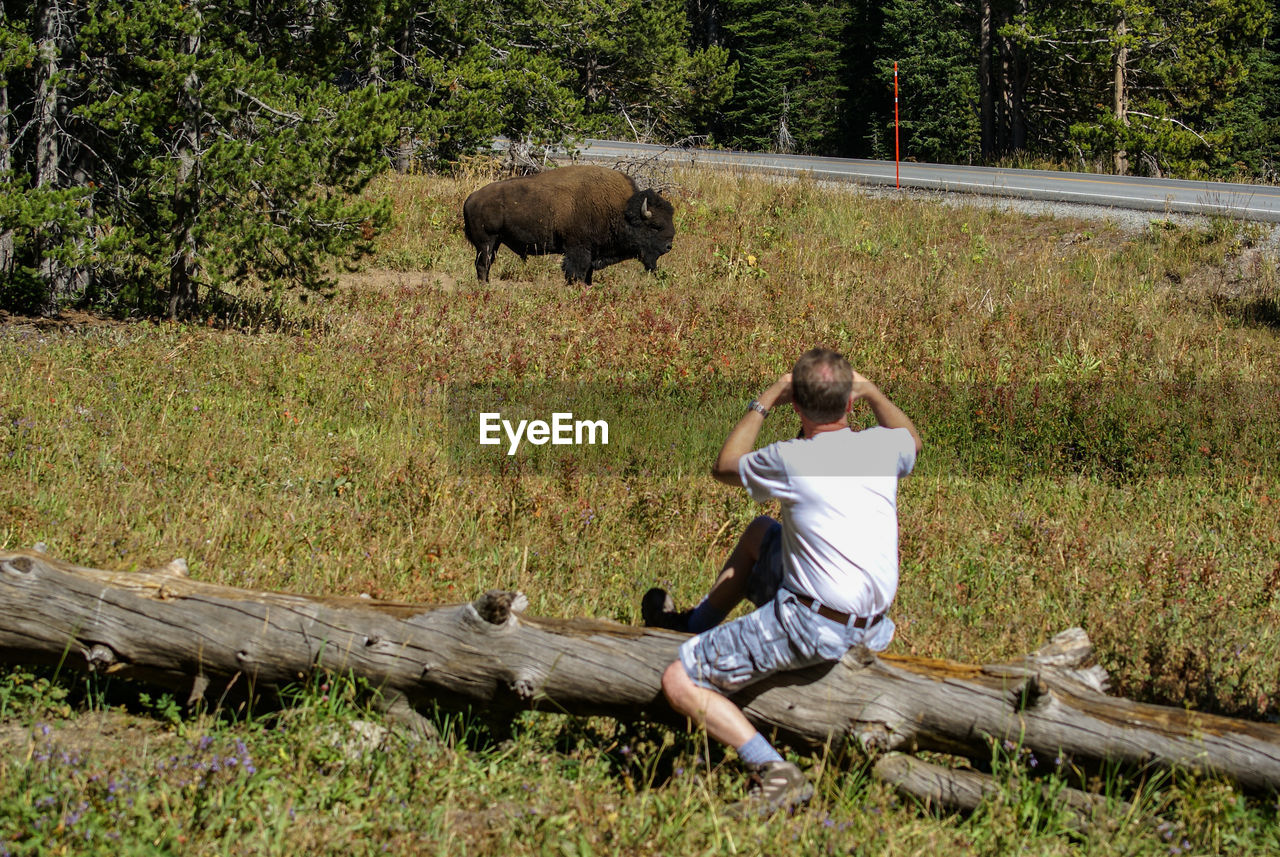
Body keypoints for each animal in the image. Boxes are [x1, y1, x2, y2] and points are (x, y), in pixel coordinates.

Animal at [463, 166, 680, 286]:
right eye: (655, 226)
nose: (668, 246)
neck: (621, 210)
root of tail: (471, 199)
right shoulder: (578, 250)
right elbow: (576, 272)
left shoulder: (592, 252)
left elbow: (587, 274)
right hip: (486, 242)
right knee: (482, 265)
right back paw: (485, 287)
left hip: (495, 243)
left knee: (486, 264)